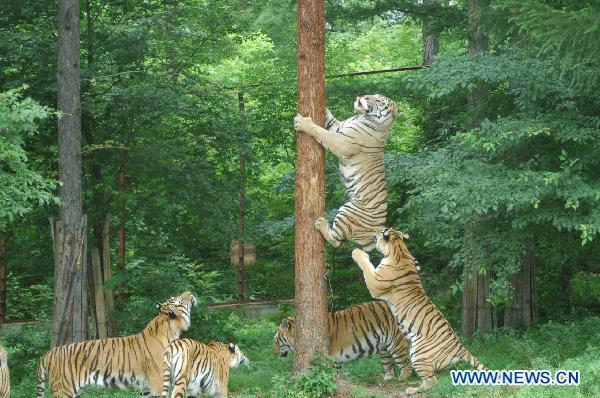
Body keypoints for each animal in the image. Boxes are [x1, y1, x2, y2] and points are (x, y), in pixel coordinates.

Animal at [36, 290, 196, 398]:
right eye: (179, 300)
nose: (190, 292)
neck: (172, 330)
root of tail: (49, 353)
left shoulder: (146, 388)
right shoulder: (158, 382)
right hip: (63, 390)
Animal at [276, 300, 412, 380]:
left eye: (276, 341)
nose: (275, 353)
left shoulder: (331, 356)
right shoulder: (338, 360)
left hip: (396, 343)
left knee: (406, 365)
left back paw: (401, 379)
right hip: (384, 349)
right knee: (389, 365)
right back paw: (387, 380)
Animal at [294, 94, 400, 250]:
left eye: (379, 100)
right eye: (374, 95)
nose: (364, 96)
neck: (361, 117)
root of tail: (373, 237)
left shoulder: (342, 141)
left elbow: (321, 132)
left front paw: (303, 122)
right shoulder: (339, 127)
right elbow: (331, 121)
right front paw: (325, 108)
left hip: (347, 210)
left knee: (336, 241)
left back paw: (322, 224)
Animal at [352, 227, 488, 394]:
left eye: (381, 231)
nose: (374, 232)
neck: (399, 248)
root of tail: (460, 348)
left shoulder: (375, 283)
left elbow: (366, 266)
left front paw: (357, 252)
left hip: (417, 354)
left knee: (432, 382)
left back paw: (411, 389)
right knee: (436, 378)